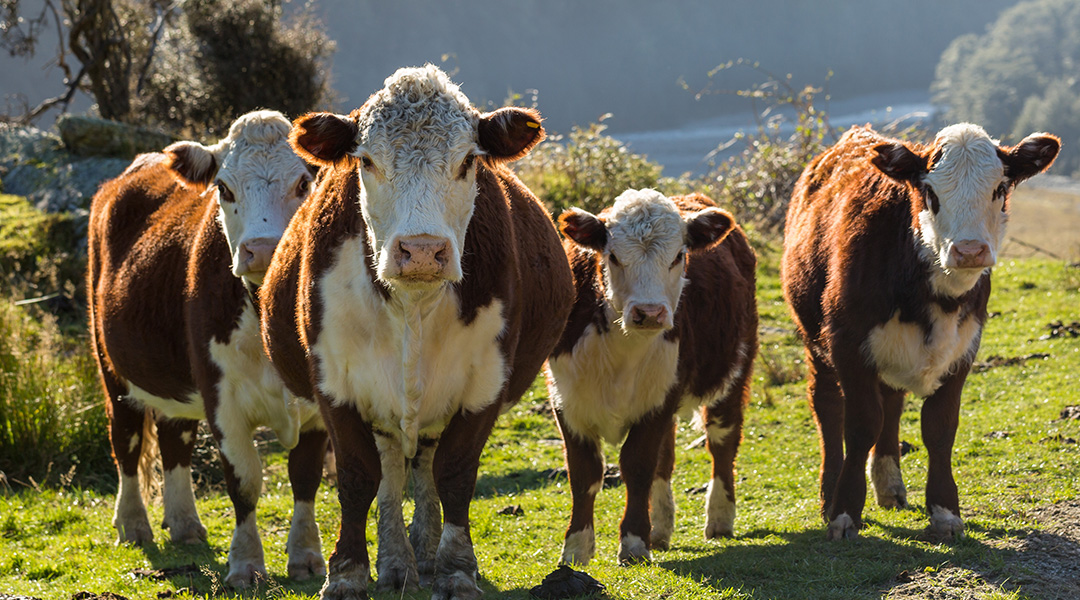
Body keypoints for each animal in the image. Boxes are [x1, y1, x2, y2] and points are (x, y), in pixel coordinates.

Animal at [87, 110, 329, 587]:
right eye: (225, 187)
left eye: (302, 183)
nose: (262, 250)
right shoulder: (223, 400)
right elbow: (245, 480)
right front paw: (246, 564)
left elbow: (306, 476)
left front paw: (307, 556)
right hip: (112, 366)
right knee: (125, 441)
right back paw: (133, 524)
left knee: (174, 439)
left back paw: (184, 524)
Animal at [259, 65, 574, 599]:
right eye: (366, 160)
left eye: (468, 160)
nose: (422, 250)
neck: (411, 306)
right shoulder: (333, 382)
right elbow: (357, 477)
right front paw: (347, 573)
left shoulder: (485, 381)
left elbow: (455, 473)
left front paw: (455, 569)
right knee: (389, 468)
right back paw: (396, 563)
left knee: (424, 463)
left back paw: (422, 555)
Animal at [547, 189, 758, 565]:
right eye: (613, 256)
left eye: (678, 256)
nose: (649, 313)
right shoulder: (566, 399)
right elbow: (585, 473)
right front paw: (576, 548)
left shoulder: (661, 398)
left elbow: (638, 465)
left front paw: (632, 543)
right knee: (667, 458)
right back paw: (660, 528)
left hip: (733, 371)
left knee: (722, 441)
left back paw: (719, 517)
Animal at [781, 123, 1060, 540]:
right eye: (930, 191)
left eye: (999, 188)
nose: (970, 250)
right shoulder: (848, 342)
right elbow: (861, 424)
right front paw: (844, 511)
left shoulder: (964, 347)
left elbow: (939, 428)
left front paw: (945, 512)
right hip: (814, 338)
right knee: (827, 406)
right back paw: (829, 493)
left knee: (891, 402)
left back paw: (889, 485)